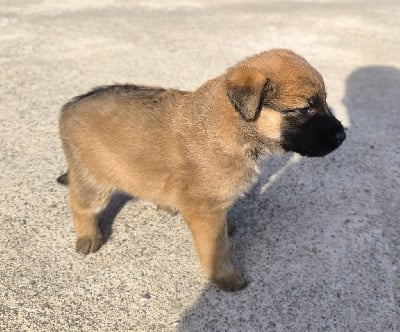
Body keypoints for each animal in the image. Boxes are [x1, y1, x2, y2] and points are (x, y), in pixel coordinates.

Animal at [57, 48, 346, 290]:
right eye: (305, 109)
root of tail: (69, 106)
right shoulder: (204, 211)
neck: (235, 126)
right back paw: (88, 235)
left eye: (324, 102)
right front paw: (225, 277)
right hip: (94, 180)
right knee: (78, 203)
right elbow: (216, 249)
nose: (343, 136)